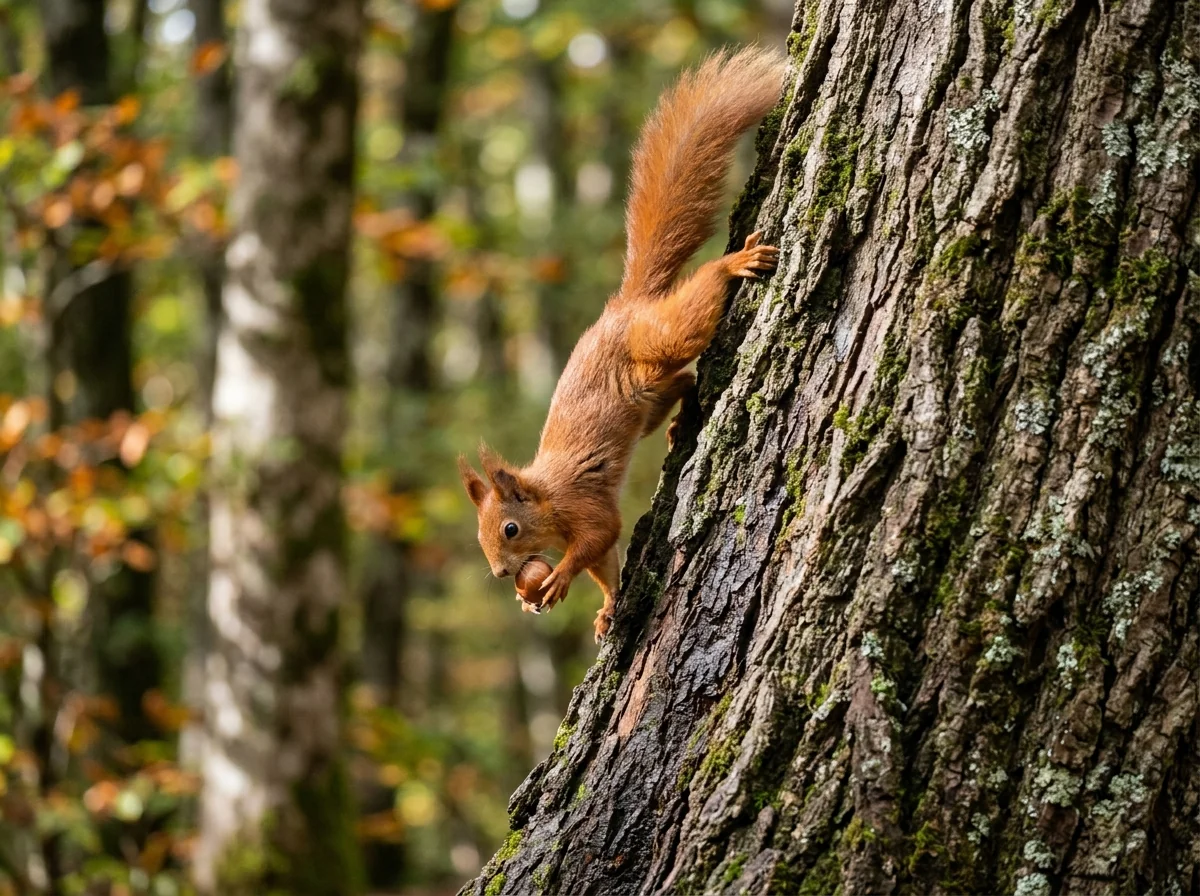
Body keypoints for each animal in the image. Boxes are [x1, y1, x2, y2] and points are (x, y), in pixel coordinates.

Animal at [459, 47, 785, 642]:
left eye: (510, 529)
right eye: (481, 536)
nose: (500, 573)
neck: (547, 496)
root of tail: (622, 308)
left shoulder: (582, 506)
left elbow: (601, 535)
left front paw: (559, 579)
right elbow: (606, 566)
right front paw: (605, 607)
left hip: (660, 338)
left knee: (690, 327)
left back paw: (734, 264)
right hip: (646, 396)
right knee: (682, 381)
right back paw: (682, 419)